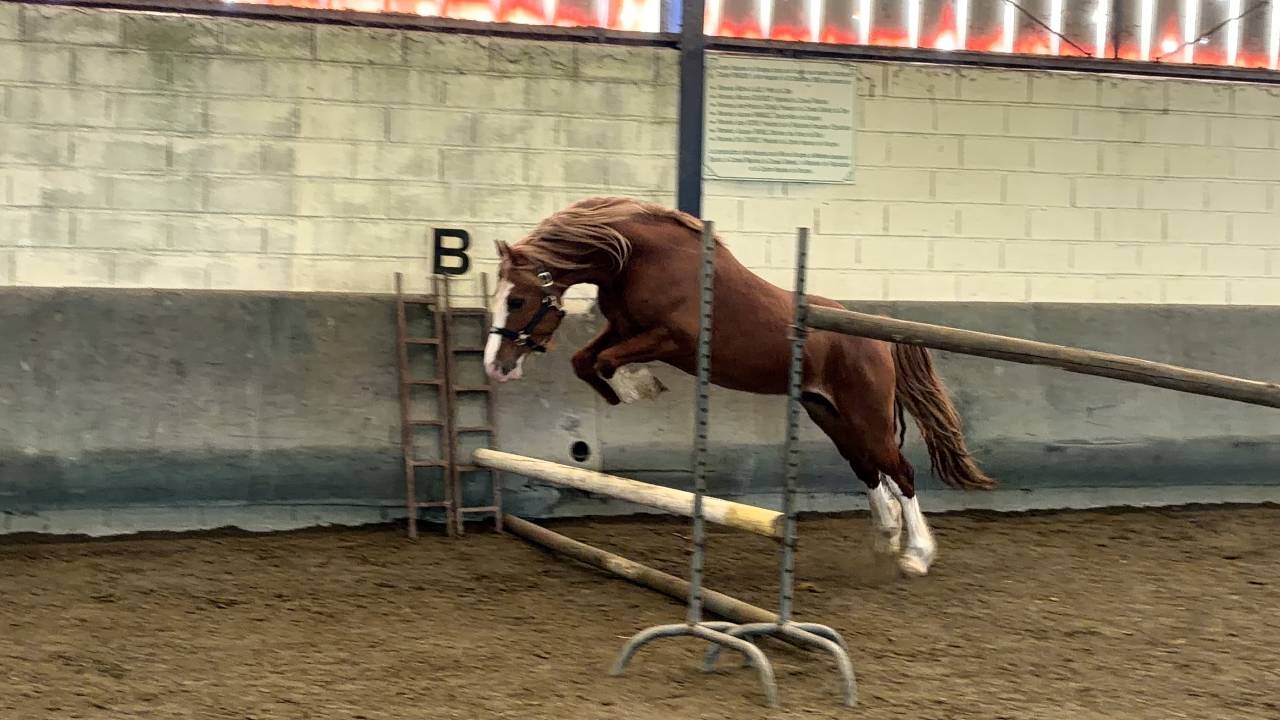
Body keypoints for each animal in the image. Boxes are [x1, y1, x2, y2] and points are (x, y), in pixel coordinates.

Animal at [482, 196, 995, 576]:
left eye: (517, 299)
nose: (496, 367)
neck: (638, 257)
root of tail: (879, 338)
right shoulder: (623, 328)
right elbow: (585, 361)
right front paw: (622, 390)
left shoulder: (671, 340)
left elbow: (606, 362)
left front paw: (638, 387)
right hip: (829, 414)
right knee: (868, 469)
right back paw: (886, 541)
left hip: (865, 415)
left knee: (901, 472)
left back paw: (916, 556)